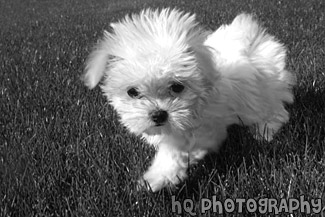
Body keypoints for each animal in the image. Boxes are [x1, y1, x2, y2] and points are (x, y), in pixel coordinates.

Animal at [83, 8, 294, 192]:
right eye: (132, 92)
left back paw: (264, 131)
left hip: (264, 92)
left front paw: (157, 178)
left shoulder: (207, 127)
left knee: (277, 111)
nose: (158, 114)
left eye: (177, 87)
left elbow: (177, 151)